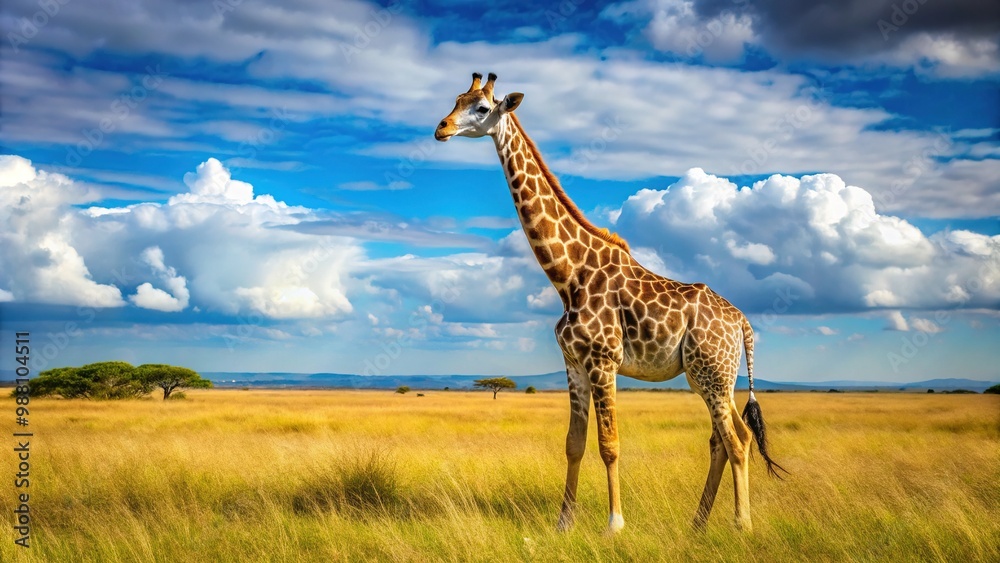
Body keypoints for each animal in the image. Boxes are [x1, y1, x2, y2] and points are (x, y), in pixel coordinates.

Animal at [434, 72, 785, 533]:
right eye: (456, 99)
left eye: (480, 108)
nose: (440, 128)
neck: (568, 275)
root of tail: (742, 321)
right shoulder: (574, 364)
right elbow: (573, 444)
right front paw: (563, 523)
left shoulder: (603, 361)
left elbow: (609, 444)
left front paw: (614, 524)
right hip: (705, 375)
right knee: (722, 440)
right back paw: (697, 523)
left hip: (715, 372)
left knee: (737, 439)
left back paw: (741, 525)